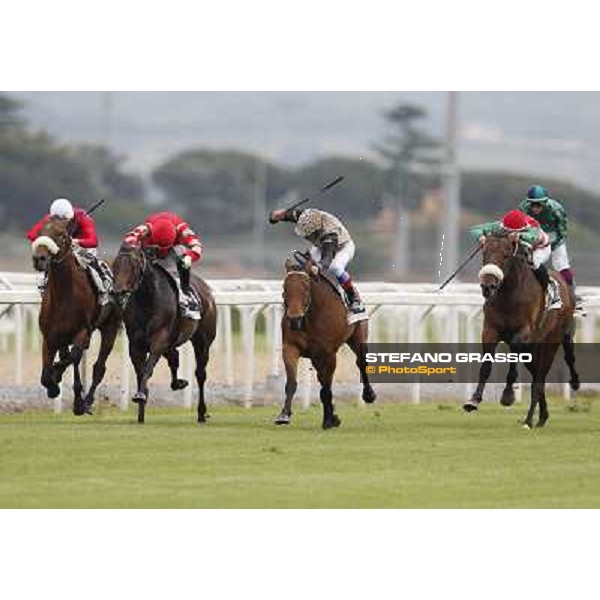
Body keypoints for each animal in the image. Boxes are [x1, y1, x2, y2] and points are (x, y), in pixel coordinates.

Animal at [30, 217, 122, 418]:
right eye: (39, 232)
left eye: (62, 235)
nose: (39, 259)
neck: (64, 296)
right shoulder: (49, 336)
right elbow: (46, 374)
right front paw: (53, 385)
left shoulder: (82, 331)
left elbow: (72, 357)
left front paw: (57, 377)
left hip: (110, 327)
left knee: (98, 367)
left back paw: (85, 402)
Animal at [111, 241, 217, 424]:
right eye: (116, 264)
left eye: (133, 265)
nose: (118, 292)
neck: (147, 300)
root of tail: (207, 291)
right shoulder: (135, 344)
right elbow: (141, 372)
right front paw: (141, 409)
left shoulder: (159, 340)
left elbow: (147, 369)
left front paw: (140, 396)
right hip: (172, 342)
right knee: (174, 357)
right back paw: (178, 383)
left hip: (203, 341)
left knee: (200, 374)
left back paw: (201, 413)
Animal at [276, 255, 378, 428]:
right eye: (285, 287)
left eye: (306, 288)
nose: (294, 319)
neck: (310, 318)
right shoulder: (290, 348)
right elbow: (291, 383)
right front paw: (284, 415)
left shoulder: (329, 354)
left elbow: (325, 388)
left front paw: (328, 420)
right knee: (323, 378)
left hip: (358, 337)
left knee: (361, 363)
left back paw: (368, 395)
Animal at [462, 232, 580, 428]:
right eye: (484, 253)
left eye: (505, 255)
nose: (488, 286)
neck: (509, 295)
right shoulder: (490, 330)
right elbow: (486, 365)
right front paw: (474, 400)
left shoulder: (523, 332)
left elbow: (513, 356)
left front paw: (508, 396)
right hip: (534, 348)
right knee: (538, 378)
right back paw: (542, 417)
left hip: (551, 341)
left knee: (540, 380)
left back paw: (529, 419)